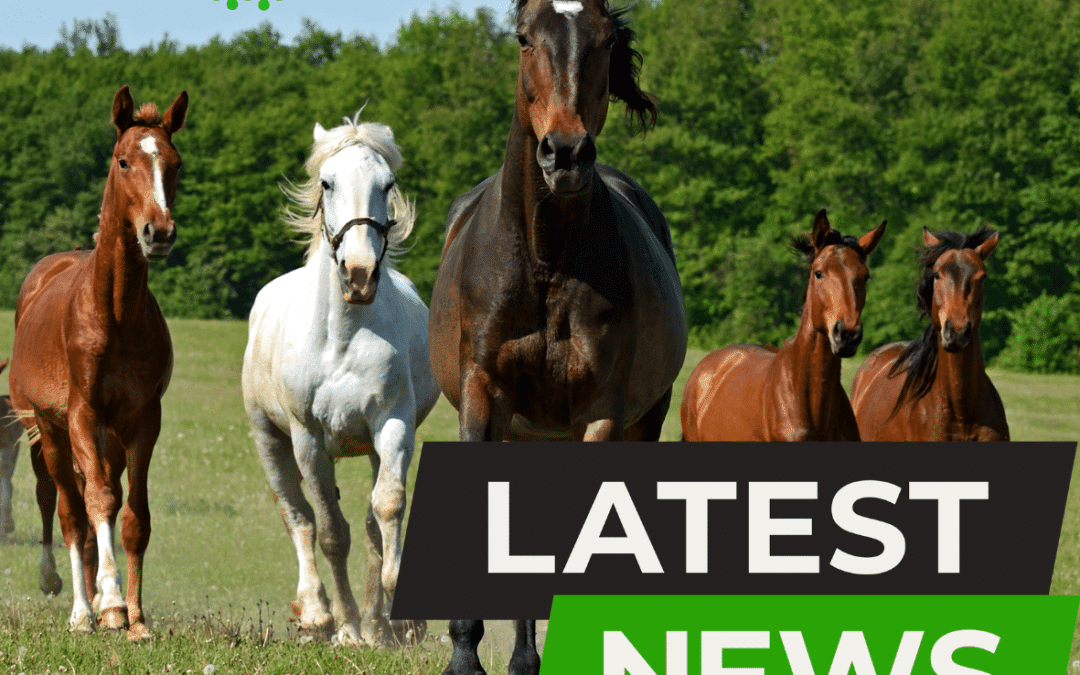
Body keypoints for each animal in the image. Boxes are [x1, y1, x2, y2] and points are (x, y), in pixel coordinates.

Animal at [8, 85, 187, 639]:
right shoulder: (82, 414)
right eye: (124, 160)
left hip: (106, 439)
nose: (158, 232)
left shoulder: (143, 420)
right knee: (67, 509)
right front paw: (107, 601)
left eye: (175, 163)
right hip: (47, 430)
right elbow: (98, 503)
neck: (116, 315)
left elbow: (134, 517)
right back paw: (80, 609)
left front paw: (136, 618)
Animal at [241, 113, 440, 647]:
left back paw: (379, 624)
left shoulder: (392, 425)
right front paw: (346, 627)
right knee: (299, 518)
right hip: (271, 442)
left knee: (370, 523)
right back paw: (318, 614)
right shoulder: (308, 439)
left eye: (387, 185)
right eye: (327, 183)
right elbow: (331, 533)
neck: (343, 336)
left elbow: (386, 509)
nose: (360, 275)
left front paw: (392, 620)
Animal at [427, 0, 685, 672]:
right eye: (524, 38)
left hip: (640, 420)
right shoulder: (483, 394)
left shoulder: (598, 412)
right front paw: (464, 655)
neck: (543, 257)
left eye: (605, 40)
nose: (565, 153)